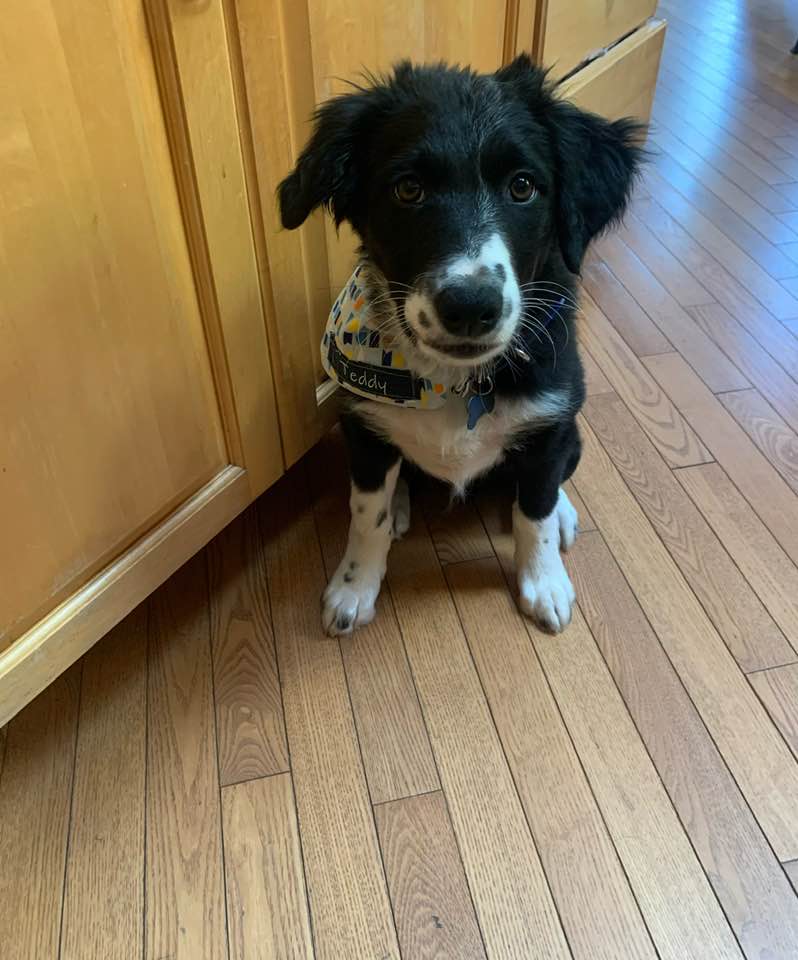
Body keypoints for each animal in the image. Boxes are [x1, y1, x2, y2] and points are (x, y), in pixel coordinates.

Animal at [279, 55, 643, 637]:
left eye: (523, 186)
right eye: (407, 189)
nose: (470, 306)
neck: (450, 381)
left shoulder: (552, 422)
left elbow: (534, 511)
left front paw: (544, 583)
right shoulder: (361, 427)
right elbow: (366, 514)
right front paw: (354, 588)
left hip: (572, 431)